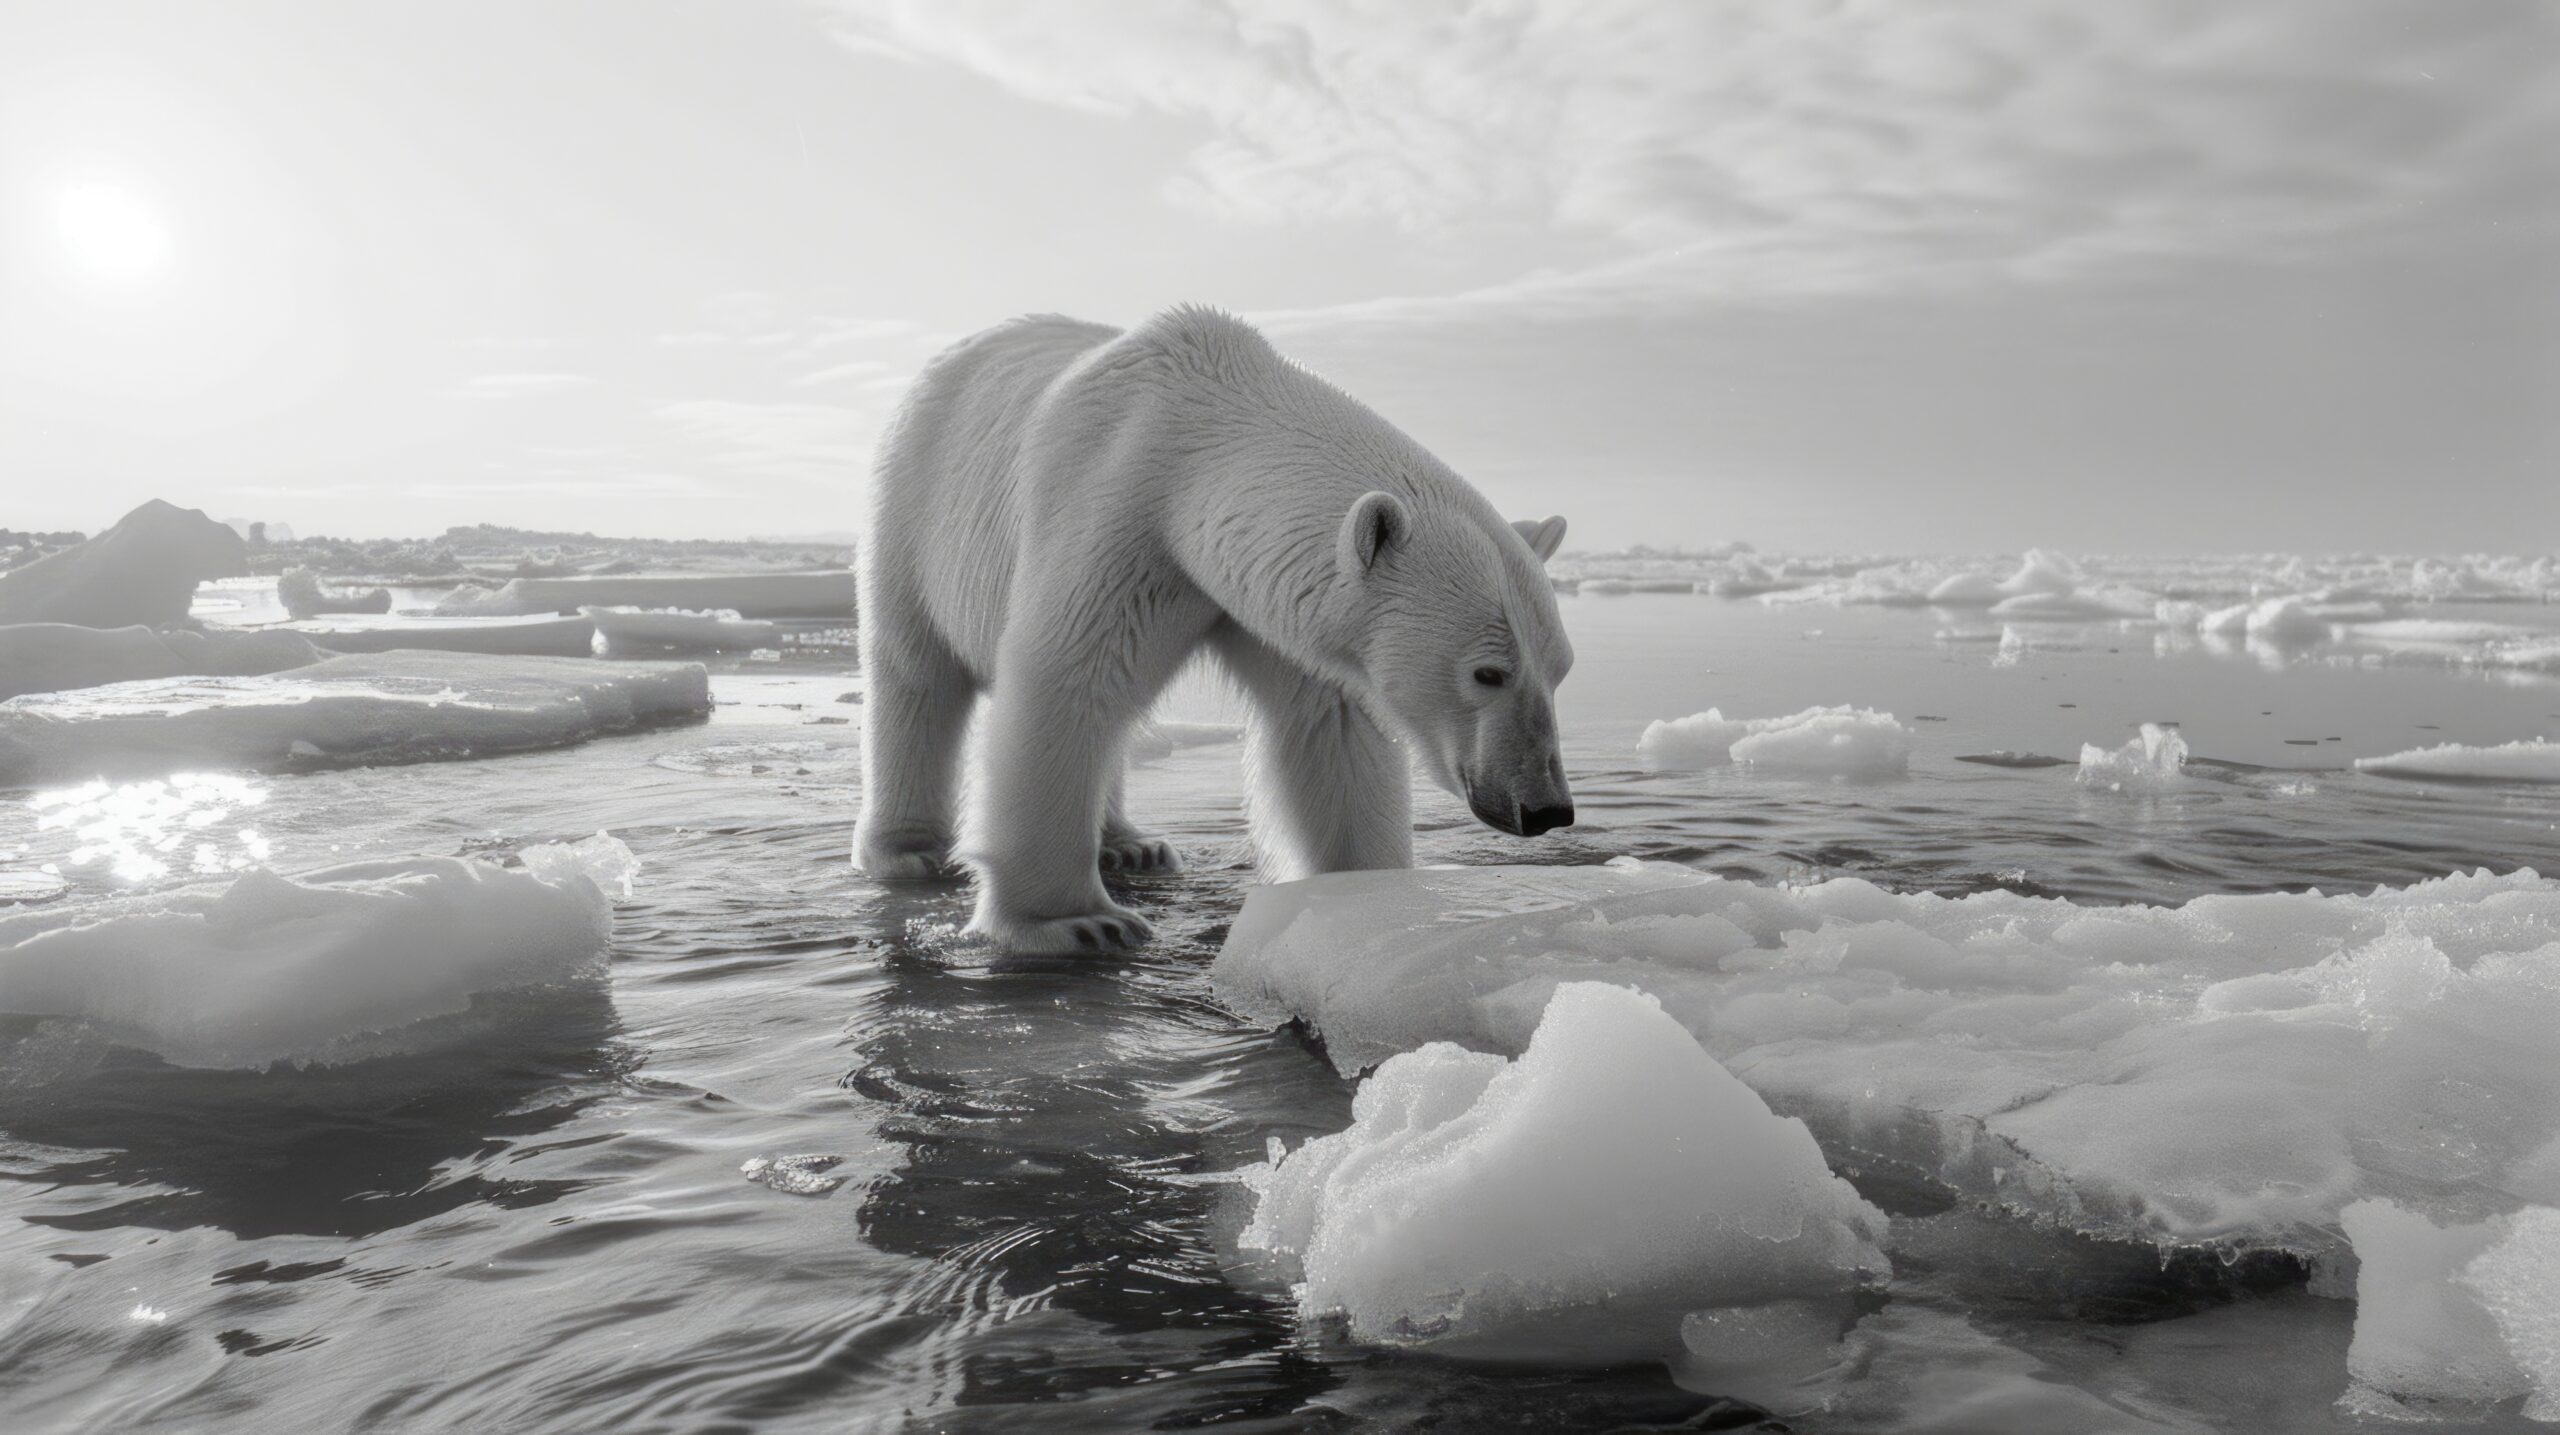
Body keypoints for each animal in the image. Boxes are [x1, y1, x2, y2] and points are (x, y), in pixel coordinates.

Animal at [860, 304, 1566, 951]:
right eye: (1487, 673)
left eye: (1560, 669)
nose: (1546, 808)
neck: (1192, 440)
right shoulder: (1114, 514)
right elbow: (1066, 681)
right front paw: (1078, 923)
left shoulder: (1269, 598)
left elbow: (1330, 728)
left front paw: (1364, 892)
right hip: (915, 505)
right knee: (915, 674)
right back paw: (909, 850)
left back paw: (1131, 845)